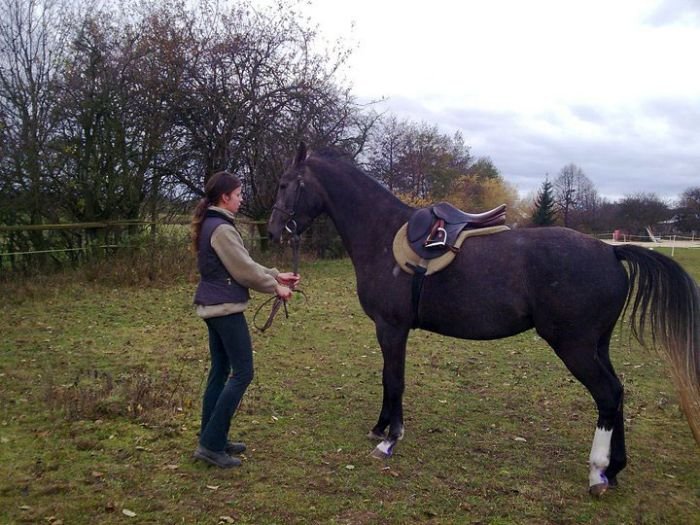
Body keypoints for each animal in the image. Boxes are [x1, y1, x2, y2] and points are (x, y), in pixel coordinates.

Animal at [268, 143, 700, 496]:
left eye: (286, 183)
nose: (273, 230)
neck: (383, 235)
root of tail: (611, 252)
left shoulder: (391, 327)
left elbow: (394, 379)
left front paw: (389, 439)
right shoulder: (392, 330)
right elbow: (390, 379)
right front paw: (381, 427)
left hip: (574, 346)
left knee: (607, 394)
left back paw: (597, 473)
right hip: (597, 345)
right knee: (618, 393)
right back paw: (615, 469)